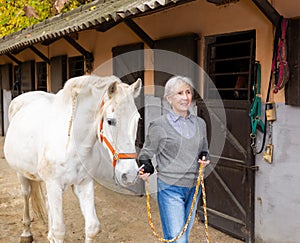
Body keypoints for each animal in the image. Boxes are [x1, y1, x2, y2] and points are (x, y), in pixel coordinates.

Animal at [3, 75, 142, 242]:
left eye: (138, 120)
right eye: (110, 121)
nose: (130, 174)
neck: (72, 145)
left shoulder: (84, 184)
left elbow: (92, 227)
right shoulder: (54, 185)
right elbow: (59, 231)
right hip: (22, 173)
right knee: (26, 194)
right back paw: (26, 233)